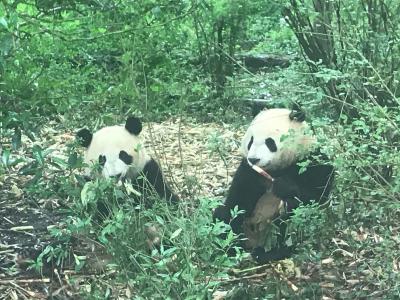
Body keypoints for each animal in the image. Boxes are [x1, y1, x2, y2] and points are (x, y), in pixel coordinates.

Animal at [212, 107, 334, 262]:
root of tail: (253, 242)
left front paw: (283, 186)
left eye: (270, 142)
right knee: (222, 214)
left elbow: (316, 195)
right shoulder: (248, 171)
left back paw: (269, 252)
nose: (254, 159)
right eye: (251, 141)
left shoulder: (312, 159)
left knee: (288, 221)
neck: (275, 169)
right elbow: (239, 200)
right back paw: (230, 245)